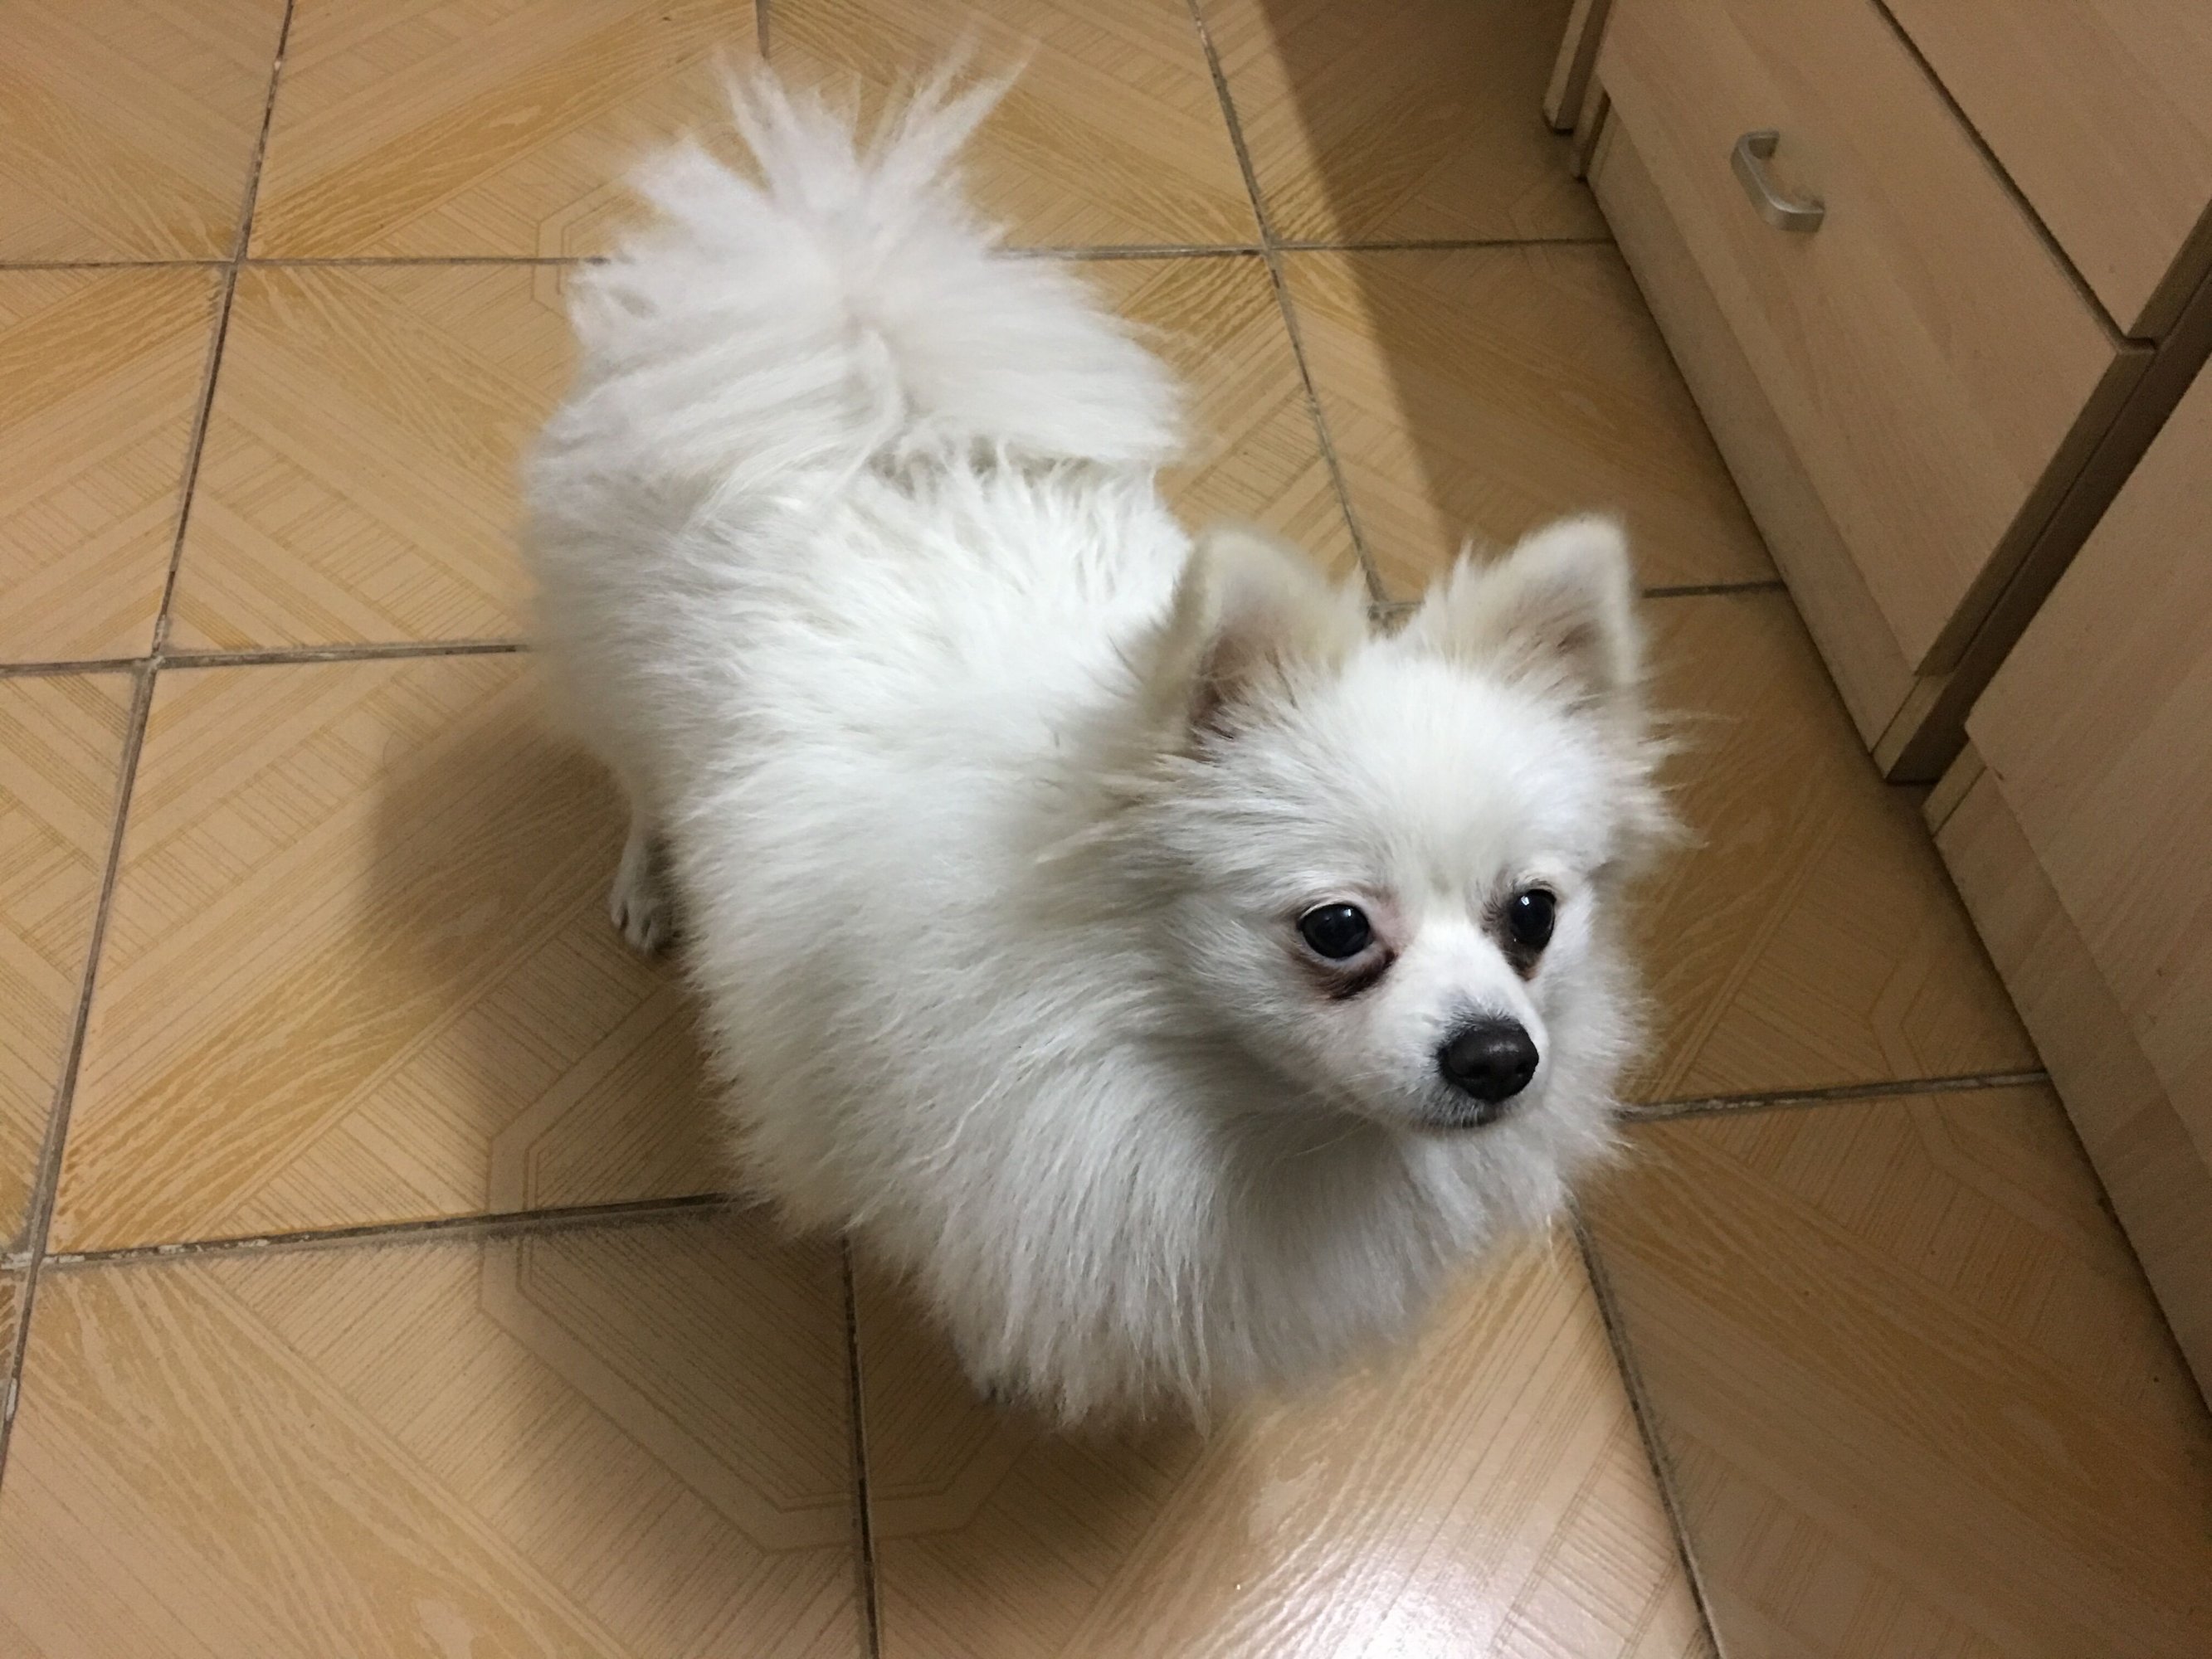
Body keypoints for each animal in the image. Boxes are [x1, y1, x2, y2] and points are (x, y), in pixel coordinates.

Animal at [523, 71, 1672, 1423]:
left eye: (1532, 916)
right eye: (1337, 928)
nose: (1499, 1053)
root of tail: (841, 342)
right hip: (622, 682)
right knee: (640, 784)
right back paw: (651, 885)